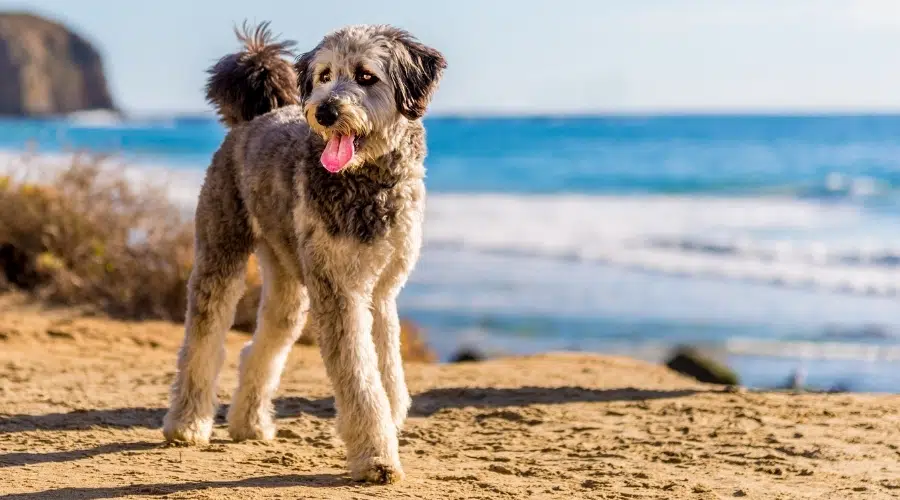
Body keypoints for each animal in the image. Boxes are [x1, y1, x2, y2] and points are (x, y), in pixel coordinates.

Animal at [162, 21, 446, 482]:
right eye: (325, 75)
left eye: (366, 76)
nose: (325, 111)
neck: (367, 182)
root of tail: (253, 118)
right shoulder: (339, 292)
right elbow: (361, 378)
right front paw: (376, 456)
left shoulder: (382, 291)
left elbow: (387, 369)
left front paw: (389, 421)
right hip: (221, 253)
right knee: (202, 342)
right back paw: (186, 423)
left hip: (287, 280)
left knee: (261, 345)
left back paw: (249, 423)